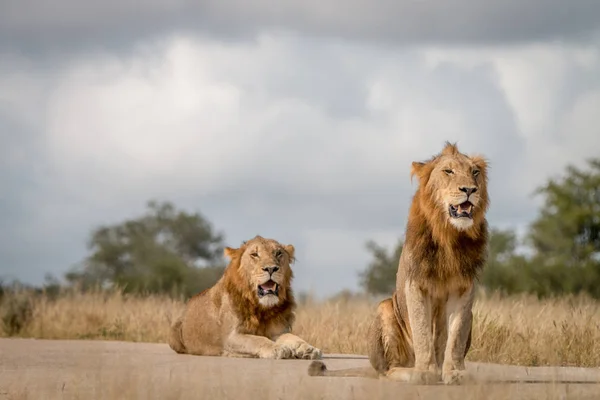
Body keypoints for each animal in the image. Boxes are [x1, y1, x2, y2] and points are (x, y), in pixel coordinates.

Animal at [166, 234, 322, 360]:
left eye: (278, 253)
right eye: (254, 254)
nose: (271, 268)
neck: (262, 308)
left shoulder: (278, 331)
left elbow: (293, 337)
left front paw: (308, 349)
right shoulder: (231, 337)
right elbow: (257, 340)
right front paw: (277, 348)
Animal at [310, 142, 488, 382]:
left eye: (474, 172)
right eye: (448, 171)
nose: (469, 190)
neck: (449, 235)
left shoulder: (464, 288)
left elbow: (456, 336)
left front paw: (455, 373)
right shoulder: (416, 284)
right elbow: (422, 331)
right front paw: (426, 372)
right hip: (385, 308)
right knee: (388, 370)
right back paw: (410, 372)